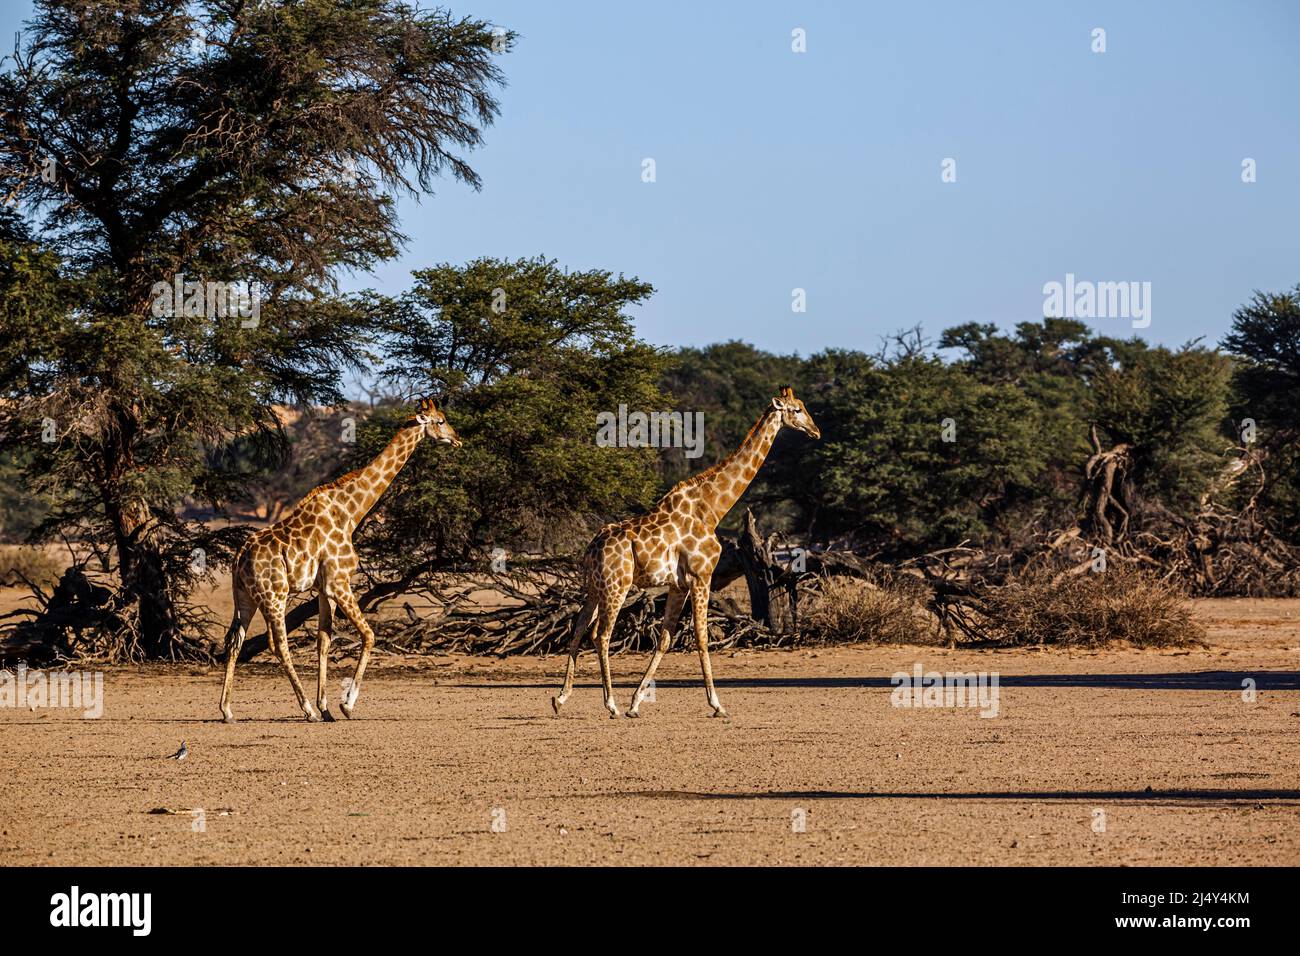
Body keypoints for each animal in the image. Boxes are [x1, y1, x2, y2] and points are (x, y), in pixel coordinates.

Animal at [219, 397, 461, 723]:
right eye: (441, 421)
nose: (458, 439)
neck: (350, 512)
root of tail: (239, 558)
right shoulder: (339, 582)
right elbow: (369, 635)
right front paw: (346, 705)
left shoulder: (324, 589)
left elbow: (324, 641)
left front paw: (327, 707)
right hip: (274, 597)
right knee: (278, 645)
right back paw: (306, 709)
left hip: (245, 598)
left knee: (235, 643)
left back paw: (227, 710)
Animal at [552, 386, 820, 718]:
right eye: (796, 410)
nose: (816, 431)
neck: (712, 508)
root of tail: (590, 549)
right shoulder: (701, 576)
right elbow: (701, 638)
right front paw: (717, 704)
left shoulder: (678, 584)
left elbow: (665, 639)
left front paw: (636, 703)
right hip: (617, 586)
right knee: (600, 635)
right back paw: (610, 704)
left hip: (594, 587)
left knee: (578, 628)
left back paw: (561, 698)